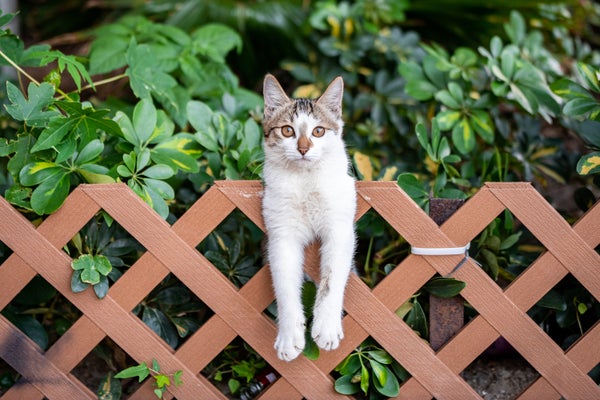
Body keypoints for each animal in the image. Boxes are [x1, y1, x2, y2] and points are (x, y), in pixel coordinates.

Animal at [258, 72, 354, 362]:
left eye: (318, 131)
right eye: (287, 130)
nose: (303, 148)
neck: (305, 181)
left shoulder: (340, 228)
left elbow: (332, 280)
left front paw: (327, 327)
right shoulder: (281, 235)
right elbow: (285, 287)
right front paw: (290, 336)